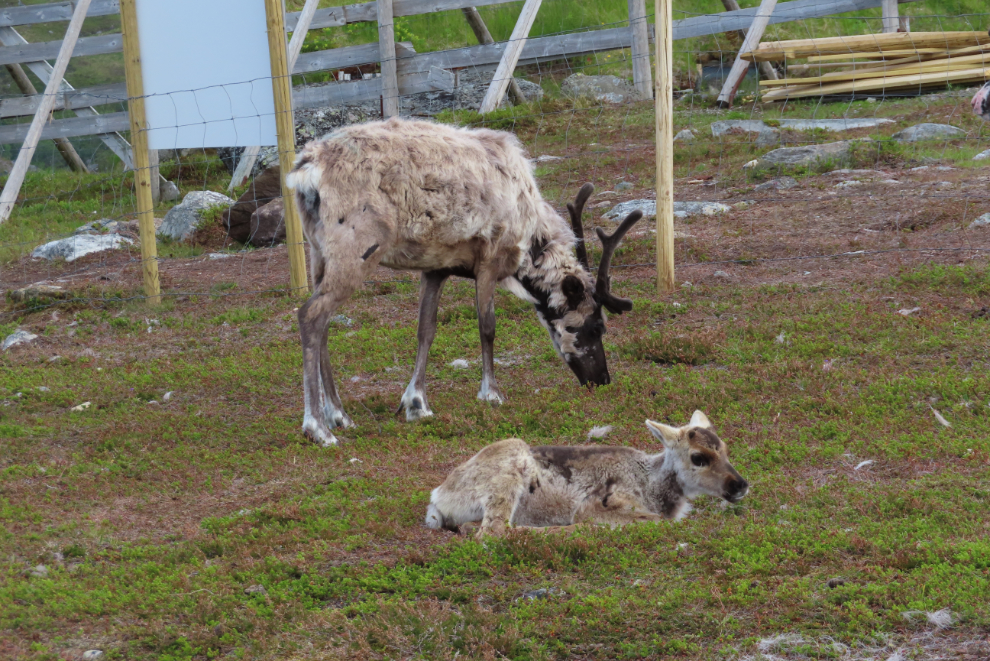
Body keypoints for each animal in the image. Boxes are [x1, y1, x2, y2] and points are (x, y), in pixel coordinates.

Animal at [286, 117, 643, 447]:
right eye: (597, 326)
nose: (602, 379)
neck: (529, 241)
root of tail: (307, 172)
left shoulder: (436, 267)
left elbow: (426, 330)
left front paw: (416, 403)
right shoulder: (490, 260)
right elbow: (487, 327)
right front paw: (491, 393)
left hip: (318, 253)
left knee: (324, 325)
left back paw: (339, 415)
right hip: (355, 251)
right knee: (310, 315)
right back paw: (318, 427)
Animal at [425, 411, 749, 537]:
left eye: (725, 449)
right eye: (698, 457)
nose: (741, 485)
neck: (654, 488)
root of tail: (438, 497)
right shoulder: (600, 504)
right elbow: (654, 522)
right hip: (505, 478)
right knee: (492, 531)